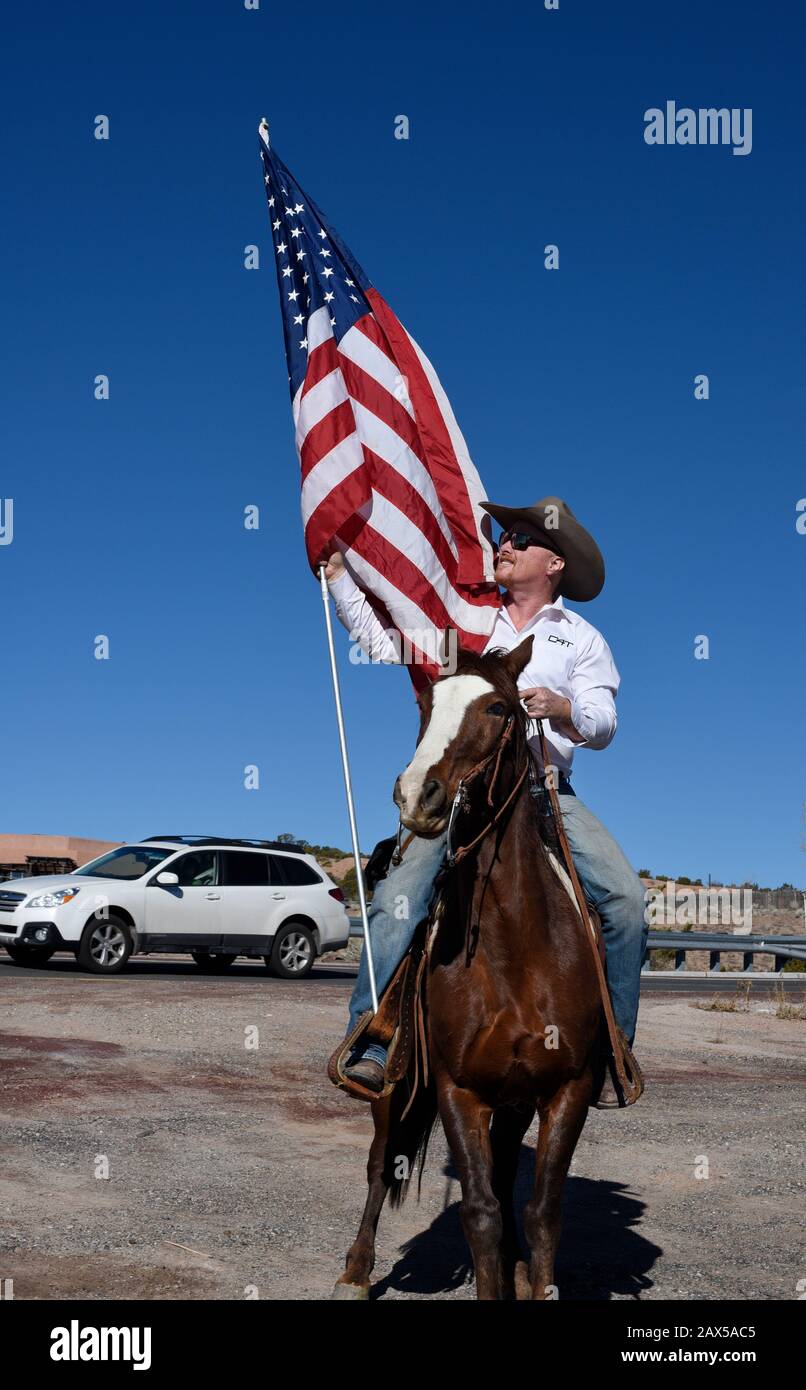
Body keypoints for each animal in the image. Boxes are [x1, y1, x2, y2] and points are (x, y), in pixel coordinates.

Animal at [332, 636, 605, 1295]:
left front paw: (530, 1272)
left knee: (505, 1179)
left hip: (515, 1102)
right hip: (395, 1084)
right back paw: (355, 1270)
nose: (416, 795)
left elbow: (542, 1210)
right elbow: (478, 1211)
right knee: (380, 1165)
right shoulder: (460, 1089)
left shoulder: (566, 1088)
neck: (515, 954)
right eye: (425, 705)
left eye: (500, 708)